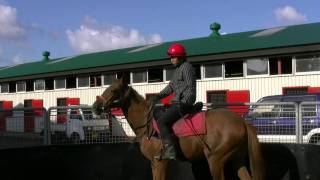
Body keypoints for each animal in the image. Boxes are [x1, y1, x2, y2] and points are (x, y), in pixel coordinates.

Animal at [91, 77, 264, 180]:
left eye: (113, 90)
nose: (95, 106)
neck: (147, 124)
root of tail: (241, 122)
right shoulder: (154, 164)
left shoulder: (160, 163)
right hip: (236, 159)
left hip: (216, 160)